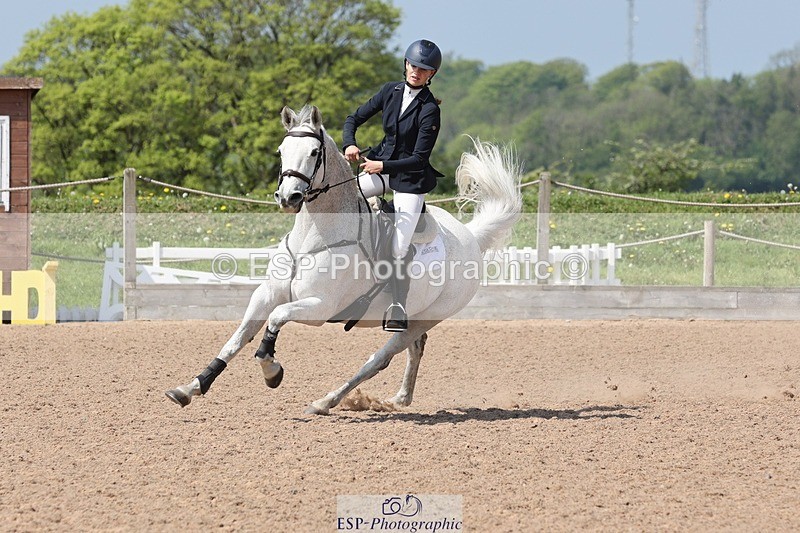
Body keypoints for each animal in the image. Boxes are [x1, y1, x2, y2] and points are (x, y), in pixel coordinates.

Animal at [165, 105, 522, 415]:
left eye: (313, 153)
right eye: (281, 151)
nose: (288, 198)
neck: (313, 238)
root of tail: (470, 237)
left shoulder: (319, 307)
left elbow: (276, 320)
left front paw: (272, 371)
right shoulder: (266, 294)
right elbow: (236, 339)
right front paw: (189, 388)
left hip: (427, 316)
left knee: (380, 359)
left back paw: (326, 401)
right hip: (417, 314)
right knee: (415, 347)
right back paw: (400, 397)